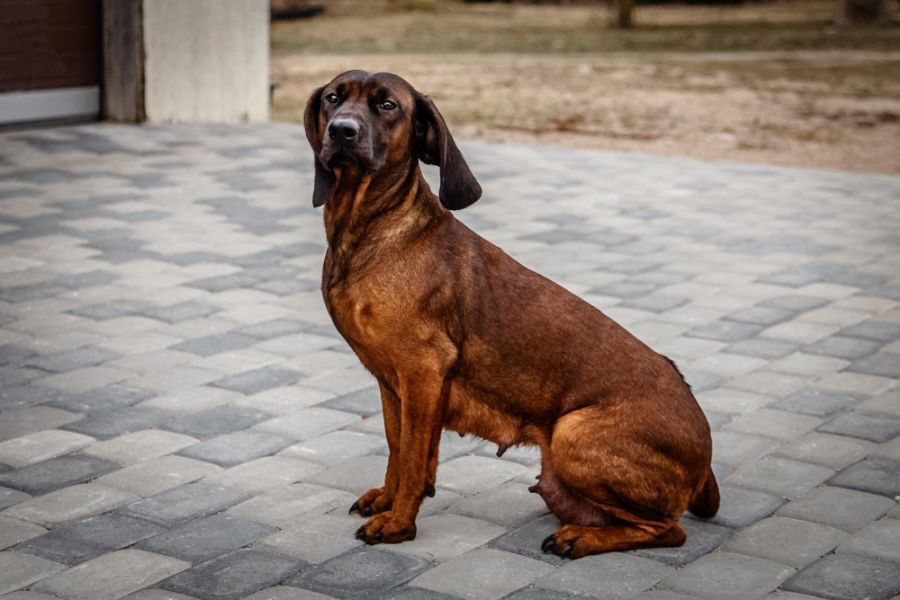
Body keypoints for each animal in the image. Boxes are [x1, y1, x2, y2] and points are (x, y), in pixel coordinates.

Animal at [302, 70, 716, 556]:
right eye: (333, 98)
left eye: (388, 106)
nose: (342, 130)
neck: (375, 231)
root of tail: (706, 457)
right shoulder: (393, 383)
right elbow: (398, 448)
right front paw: (388, 497)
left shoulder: (422, 372)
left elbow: (413, 457)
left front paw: (399, 522)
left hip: (571, 432)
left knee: (669, 530)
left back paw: (580, 537)